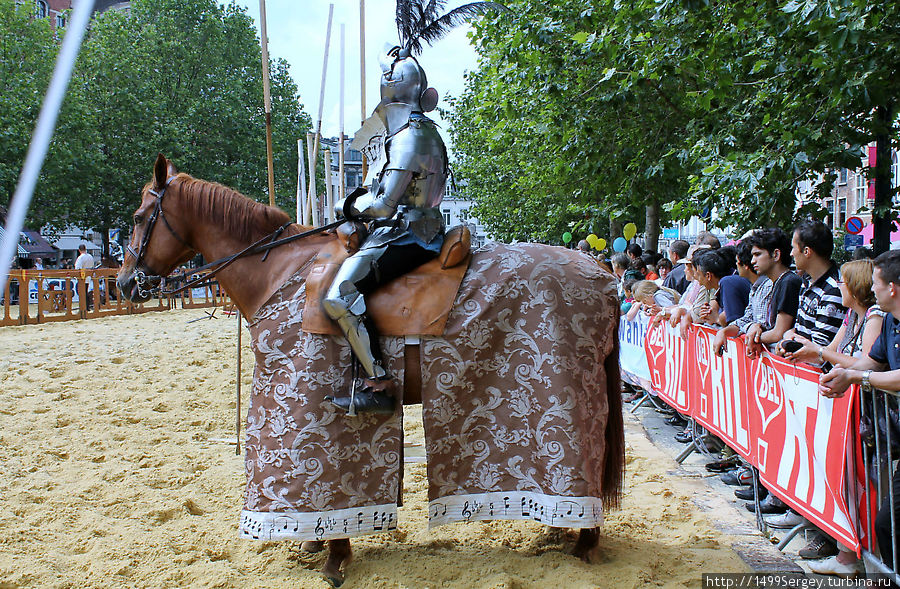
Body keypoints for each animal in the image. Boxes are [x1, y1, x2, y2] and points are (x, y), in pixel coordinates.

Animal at [118, 154, 624, 584]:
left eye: (140, 218)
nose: (125, 283)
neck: (281, 275)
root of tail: (600, 271)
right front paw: (319, 545)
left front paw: (335, 556)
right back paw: (556, 532)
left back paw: (583, 545)